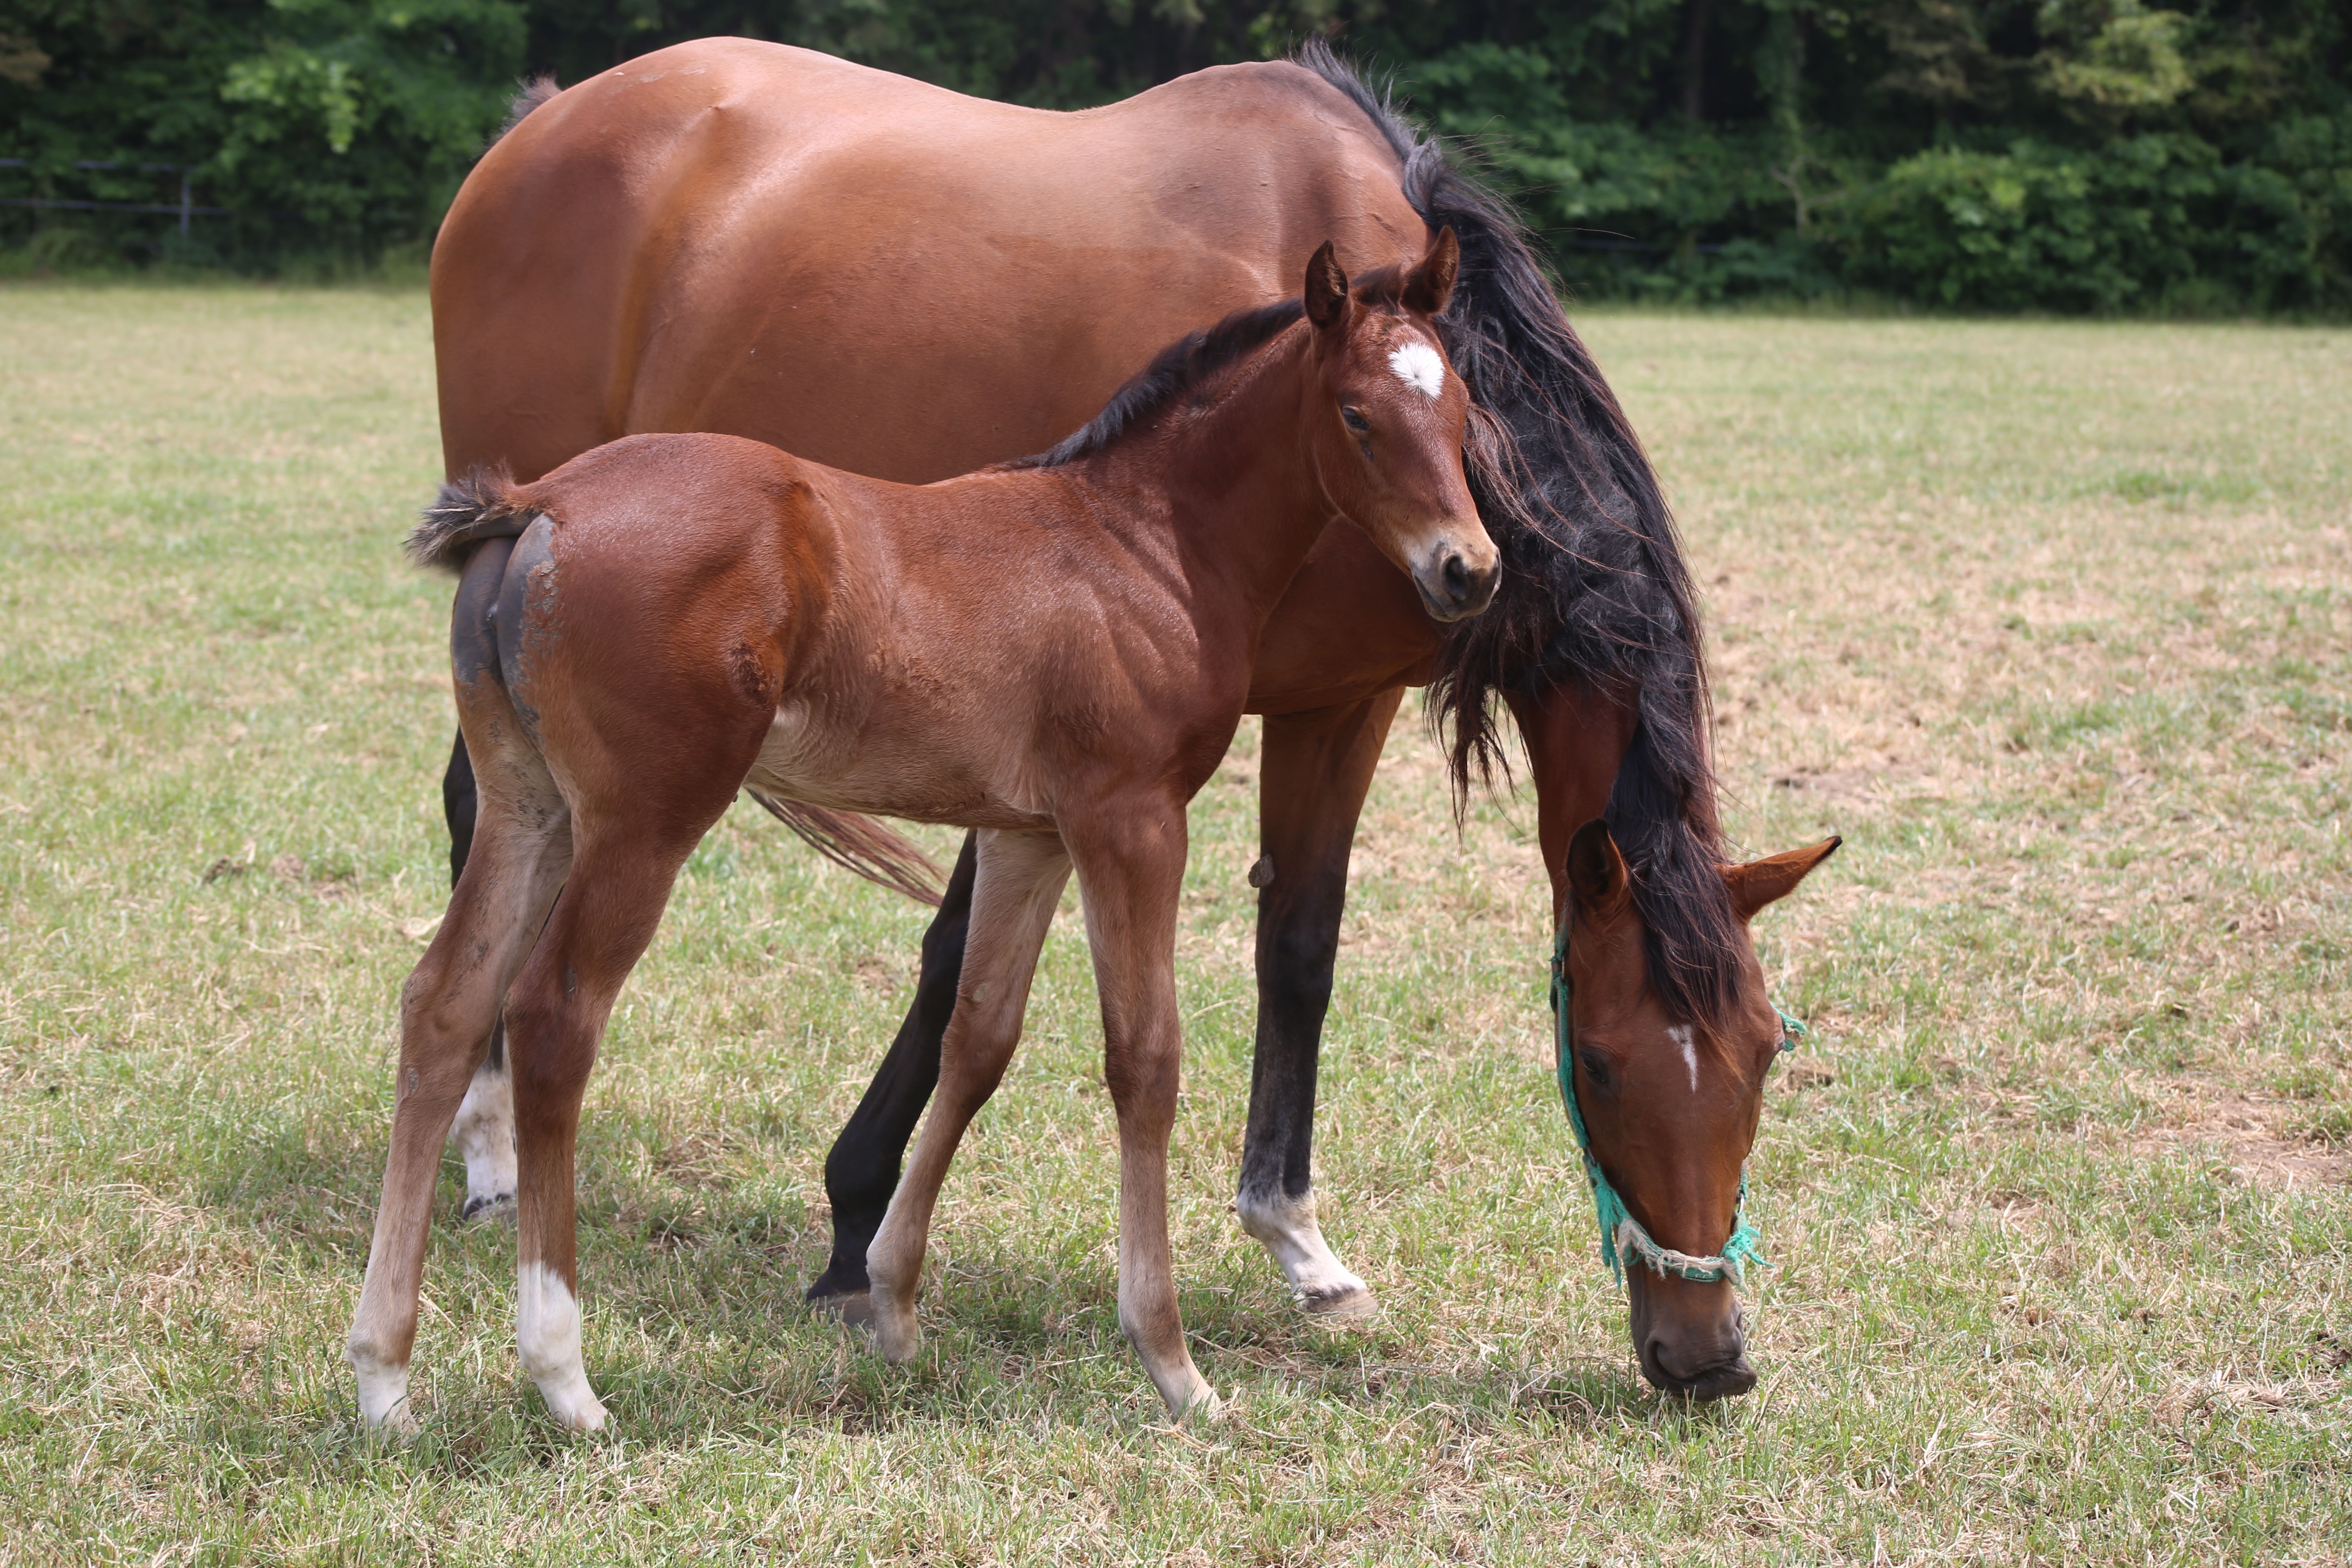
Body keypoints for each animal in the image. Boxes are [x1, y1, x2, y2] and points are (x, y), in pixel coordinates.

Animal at [343, 236, 1496, 1439]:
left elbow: (978, 1037)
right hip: (642, 822)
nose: (1470, 568)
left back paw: (384, 1378)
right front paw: (1172, 1362)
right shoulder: (1130, 818)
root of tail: (539, 503)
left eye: (1462, 409)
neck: (1142, 543)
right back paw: (564, 1380)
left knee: (444, 1005)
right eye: (1358, 416)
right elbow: (1145, 1057)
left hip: (531, 810)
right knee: (554, 1018)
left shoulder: (1027, 834)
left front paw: (892, 1307)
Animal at [432, 40, 1825, 1401]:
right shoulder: (1087, 745)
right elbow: (968, 961)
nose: (1711, 1358)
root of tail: (546, 121)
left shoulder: (1337, 702)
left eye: (1766, 1053)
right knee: (480, 843)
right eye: (1603, 1060)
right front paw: (855, 1225)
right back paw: (489, 1154)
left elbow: (1298, 946)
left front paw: (1295, 1239)